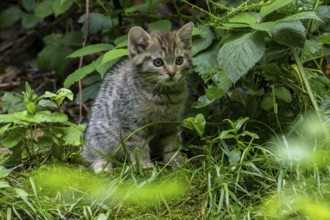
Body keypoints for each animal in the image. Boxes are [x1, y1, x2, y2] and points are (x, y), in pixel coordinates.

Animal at [82, 22, 195, 174]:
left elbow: (171, 144)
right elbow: (138, 144)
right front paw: (144, 164)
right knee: (92, 152)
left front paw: (177, 163)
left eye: (179, 60)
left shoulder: (171, 123)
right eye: (158, 62)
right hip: (101, 134)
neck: (164, 95)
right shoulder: (131, 122)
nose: (172, 73)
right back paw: (101, 165)